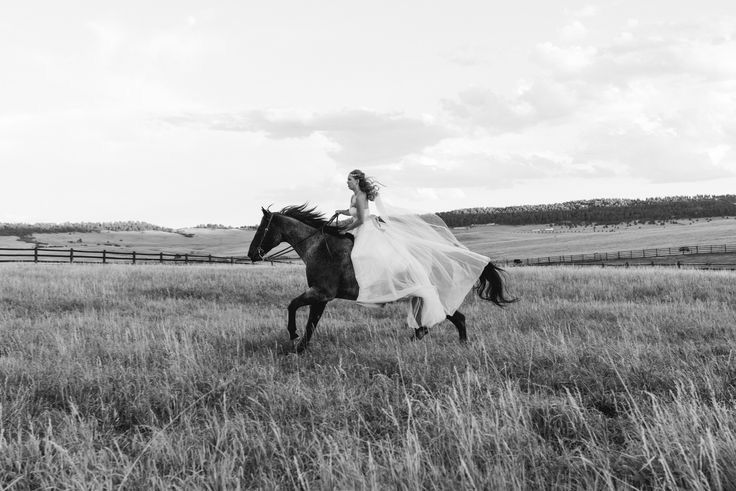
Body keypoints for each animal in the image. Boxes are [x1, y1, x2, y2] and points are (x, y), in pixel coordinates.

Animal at [247, 205, 512, 354]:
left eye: (262, 229)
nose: (251, 254)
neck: (321, 248)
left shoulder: (321, 292)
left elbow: (293, 306)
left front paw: (294, 338)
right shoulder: (320, 296)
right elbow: (311, 322)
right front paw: (301, 347)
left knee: (454, 318)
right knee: (441, 320)